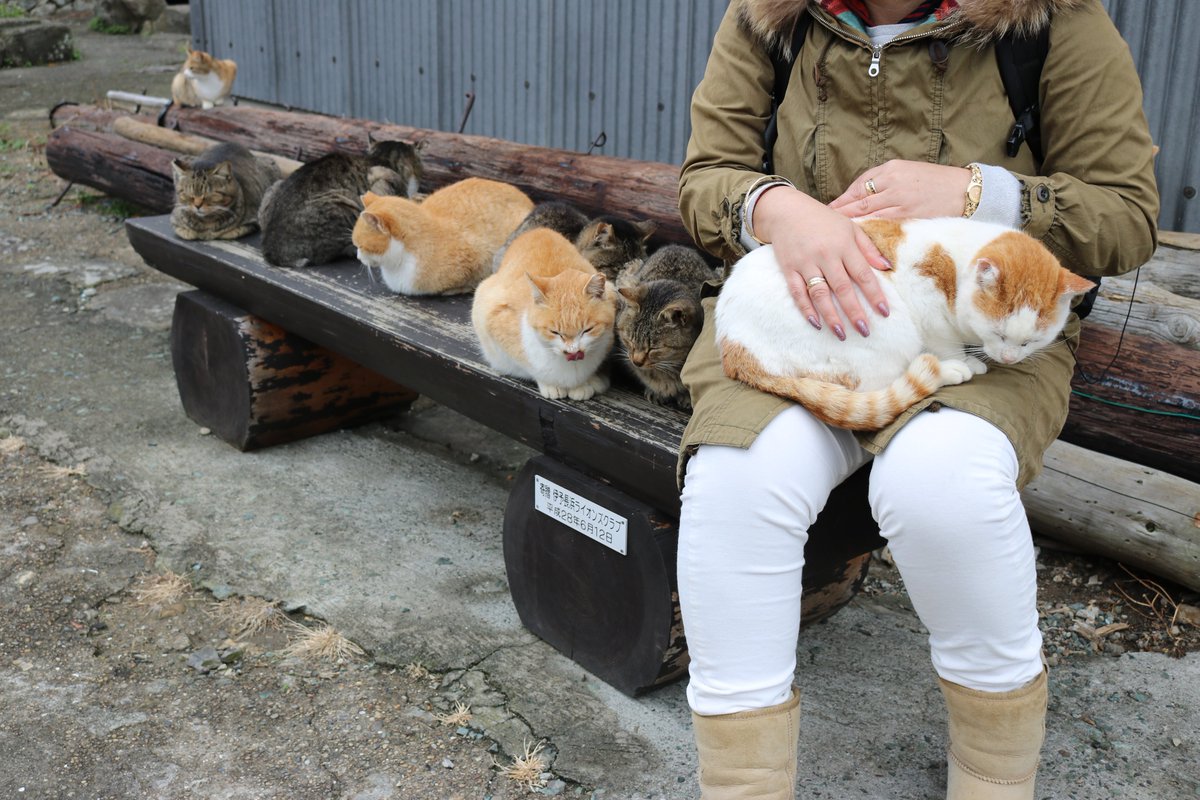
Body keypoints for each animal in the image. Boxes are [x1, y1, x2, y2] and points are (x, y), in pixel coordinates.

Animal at [350, 176, 532, 296]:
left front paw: (455, 290)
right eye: (356, 246)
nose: (358, 257)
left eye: (361, 246)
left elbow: (472, 280)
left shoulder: (481, 258)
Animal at [468, 226, 619, 400]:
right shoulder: (495, 319)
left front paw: (587, 382)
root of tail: (537, 230)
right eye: (555, 332)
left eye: (587, 330)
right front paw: (551, 384)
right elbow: (530, 367)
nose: (573, 351)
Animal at [614, 244, 715, 410]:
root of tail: (678, 245)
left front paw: (686, 397)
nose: (636, 362)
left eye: (654, 348)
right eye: (629, 340)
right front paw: (656, 391)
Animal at [710, 215, 1099, 431]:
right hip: (886, 330)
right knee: (879, 386)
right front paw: (963, 360)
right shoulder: (926, 302)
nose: (1008, 359)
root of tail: (735, 348)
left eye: (1030, 342)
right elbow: (945, 342)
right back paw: (949, 371)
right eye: (998, 333)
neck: (956, 263)